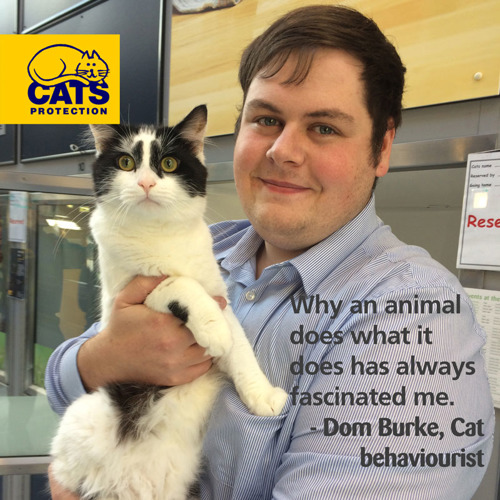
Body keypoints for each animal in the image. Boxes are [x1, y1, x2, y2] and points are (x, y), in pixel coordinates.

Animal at [49, 104, 290, 496]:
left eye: (170, 163)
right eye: (126, 163)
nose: (146, 183)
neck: (158, 234)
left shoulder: (218, 295)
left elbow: (240, 347)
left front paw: (262, 394)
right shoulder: (129, 293)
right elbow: (178, 284)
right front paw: (213, 331)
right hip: (81, 419)